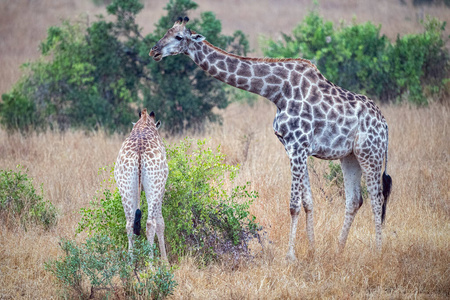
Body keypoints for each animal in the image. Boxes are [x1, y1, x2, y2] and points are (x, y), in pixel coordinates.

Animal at [114, 108, 169, 260]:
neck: (144, 123)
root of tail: (139, 152)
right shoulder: (162, 188)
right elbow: (161, 222)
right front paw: (165, 261)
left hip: (125, 186)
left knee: (129, 224)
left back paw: (130, 262)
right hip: (155, 185)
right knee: (150, 223)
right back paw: (151, 263)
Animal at [149, 17, 392, 260]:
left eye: (179, 37)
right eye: (166, 32)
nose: (154, 51)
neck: (277, 91)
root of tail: (385, 125)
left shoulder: (298, 145)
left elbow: (294, 204)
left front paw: (290, 256)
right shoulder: (294, 147)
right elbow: (308, 202)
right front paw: (312, 250)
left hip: (371, 153)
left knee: (377, 199)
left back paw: (379, 252)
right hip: (350, 156)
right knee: (354, 200)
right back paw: (339, 250)